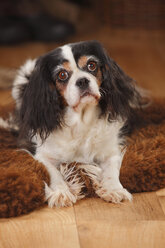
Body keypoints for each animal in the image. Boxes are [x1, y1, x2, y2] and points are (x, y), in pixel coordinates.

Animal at [11, 40, 141, 207]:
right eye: (62, 75)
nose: (82, 80)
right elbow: (53, 172)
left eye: (92, 65)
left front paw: (113, 189)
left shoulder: (111, 151)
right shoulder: (42, 154)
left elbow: (112, 170)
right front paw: (61, 192)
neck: (81, 120)